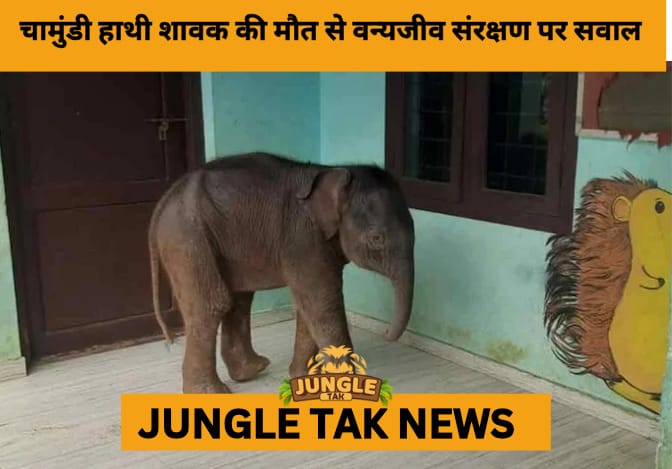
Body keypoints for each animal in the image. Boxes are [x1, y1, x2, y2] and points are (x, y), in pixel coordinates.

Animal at [148, 152, 415, 393]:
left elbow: (309, 305)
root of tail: (165, 199)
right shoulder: (303, 239)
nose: (386, 333)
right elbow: (322, 302)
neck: (333, 171)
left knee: (239, 299)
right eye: (377, 238)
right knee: (212, 305)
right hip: (188, 240)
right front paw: (346, 384)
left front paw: (305, 377)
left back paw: (252, 370)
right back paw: (213, 393)